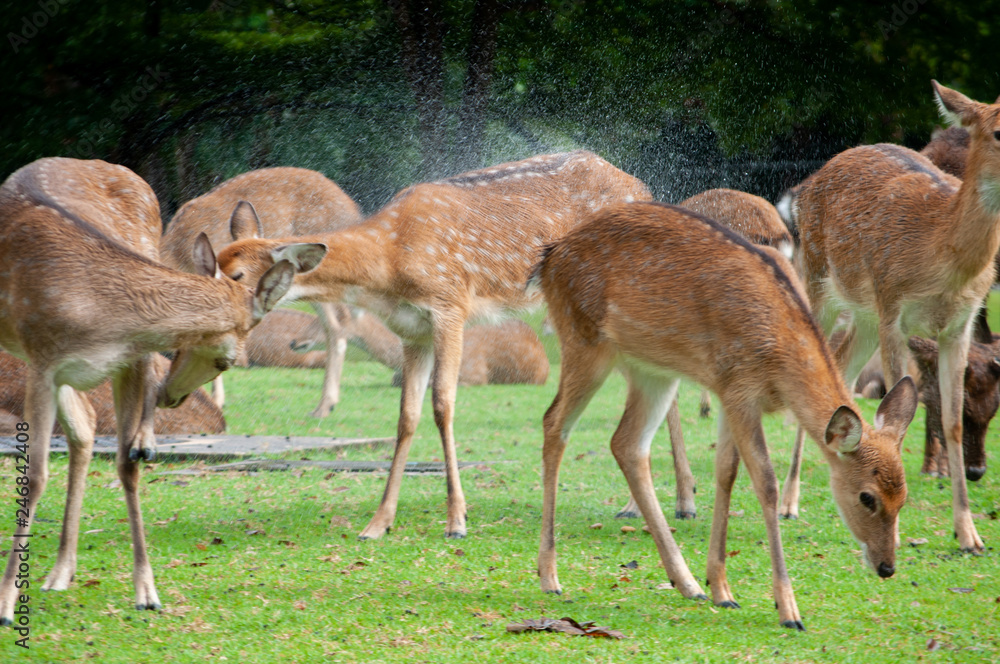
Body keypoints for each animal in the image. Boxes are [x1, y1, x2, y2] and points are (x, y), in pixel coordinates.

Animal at [0, 157, 303, 624]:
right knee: (82, 429)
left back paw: (63, 569)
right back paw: (59, 571)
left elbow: (126, 465)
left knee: (87, 428)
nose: (170, 395)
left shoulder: (126, 357)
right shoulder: (42, 362)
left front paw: (147, 591)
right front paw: (6, 603)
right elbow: (33, 477)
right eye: (226, 360)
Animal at [214, 150, 651, 540]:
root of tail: (641, 187)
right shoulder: (413, 331)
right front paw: (377, 524)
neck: (388, 265)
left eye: (237, 275)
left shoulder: (450, 307)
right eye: (215, 263)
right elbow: (406, 415)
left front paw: (457, 520)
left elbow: (443, 404)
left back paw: (638, 507)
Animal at [532, 200, 917, 631]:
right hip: (584, 341)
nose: (887, 567)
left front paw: (720, 589)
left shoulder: (729, 391)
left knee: (626, 443)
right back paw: (549, 577)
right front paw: (788, 610)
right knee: (554, 423)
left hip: (653, 370)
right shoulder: (740, 387)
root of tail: (548, 257)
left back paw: (686, 583)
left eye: (903, 497)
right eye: (867, 497)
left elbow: (726, 472)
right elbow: (764, 483)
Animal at [778, 81, 1000, 553]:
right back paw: (789, 502)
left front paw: (968, 534)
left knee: (841, 371)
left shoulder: (959, 325)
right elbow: (904, 407)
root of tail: (806, 185)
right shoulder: (893, 306)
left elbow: (950, 419)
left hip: (863, 315)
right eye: (998, 132)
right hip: (818, 279)